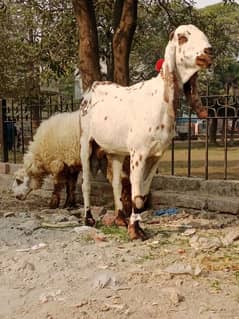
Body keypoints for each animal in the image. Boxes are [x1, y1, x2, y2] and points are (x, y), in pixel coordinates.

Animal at [79, 24, 212, 240]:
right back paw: (88, 218)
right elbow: (136, 194)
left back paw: (120, 219)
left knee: (116, 183)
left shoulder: (156, 155)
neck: (159, 99)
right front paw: (135, 231)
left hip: (115, 152)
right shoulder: (138, 154)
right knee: (86, 183)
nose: (209, 52)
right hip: (85, 142)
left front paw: (136, 226)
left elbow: (142, 196)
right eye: (182, 37)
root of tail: (92, 89)